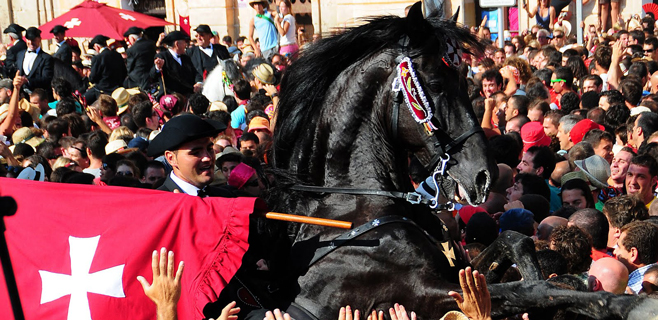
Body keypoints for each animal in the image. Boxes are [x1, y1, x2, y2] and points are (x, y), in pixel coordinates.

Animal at [260, 2, 656, 320]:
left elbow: (513, 241)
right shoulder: (424, 294)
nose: (484, 176)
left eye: (467, 78)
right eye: (435, 83)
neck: (354, 206)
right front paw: (622, 303)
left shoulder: (461, 274)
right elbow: (531, 290)